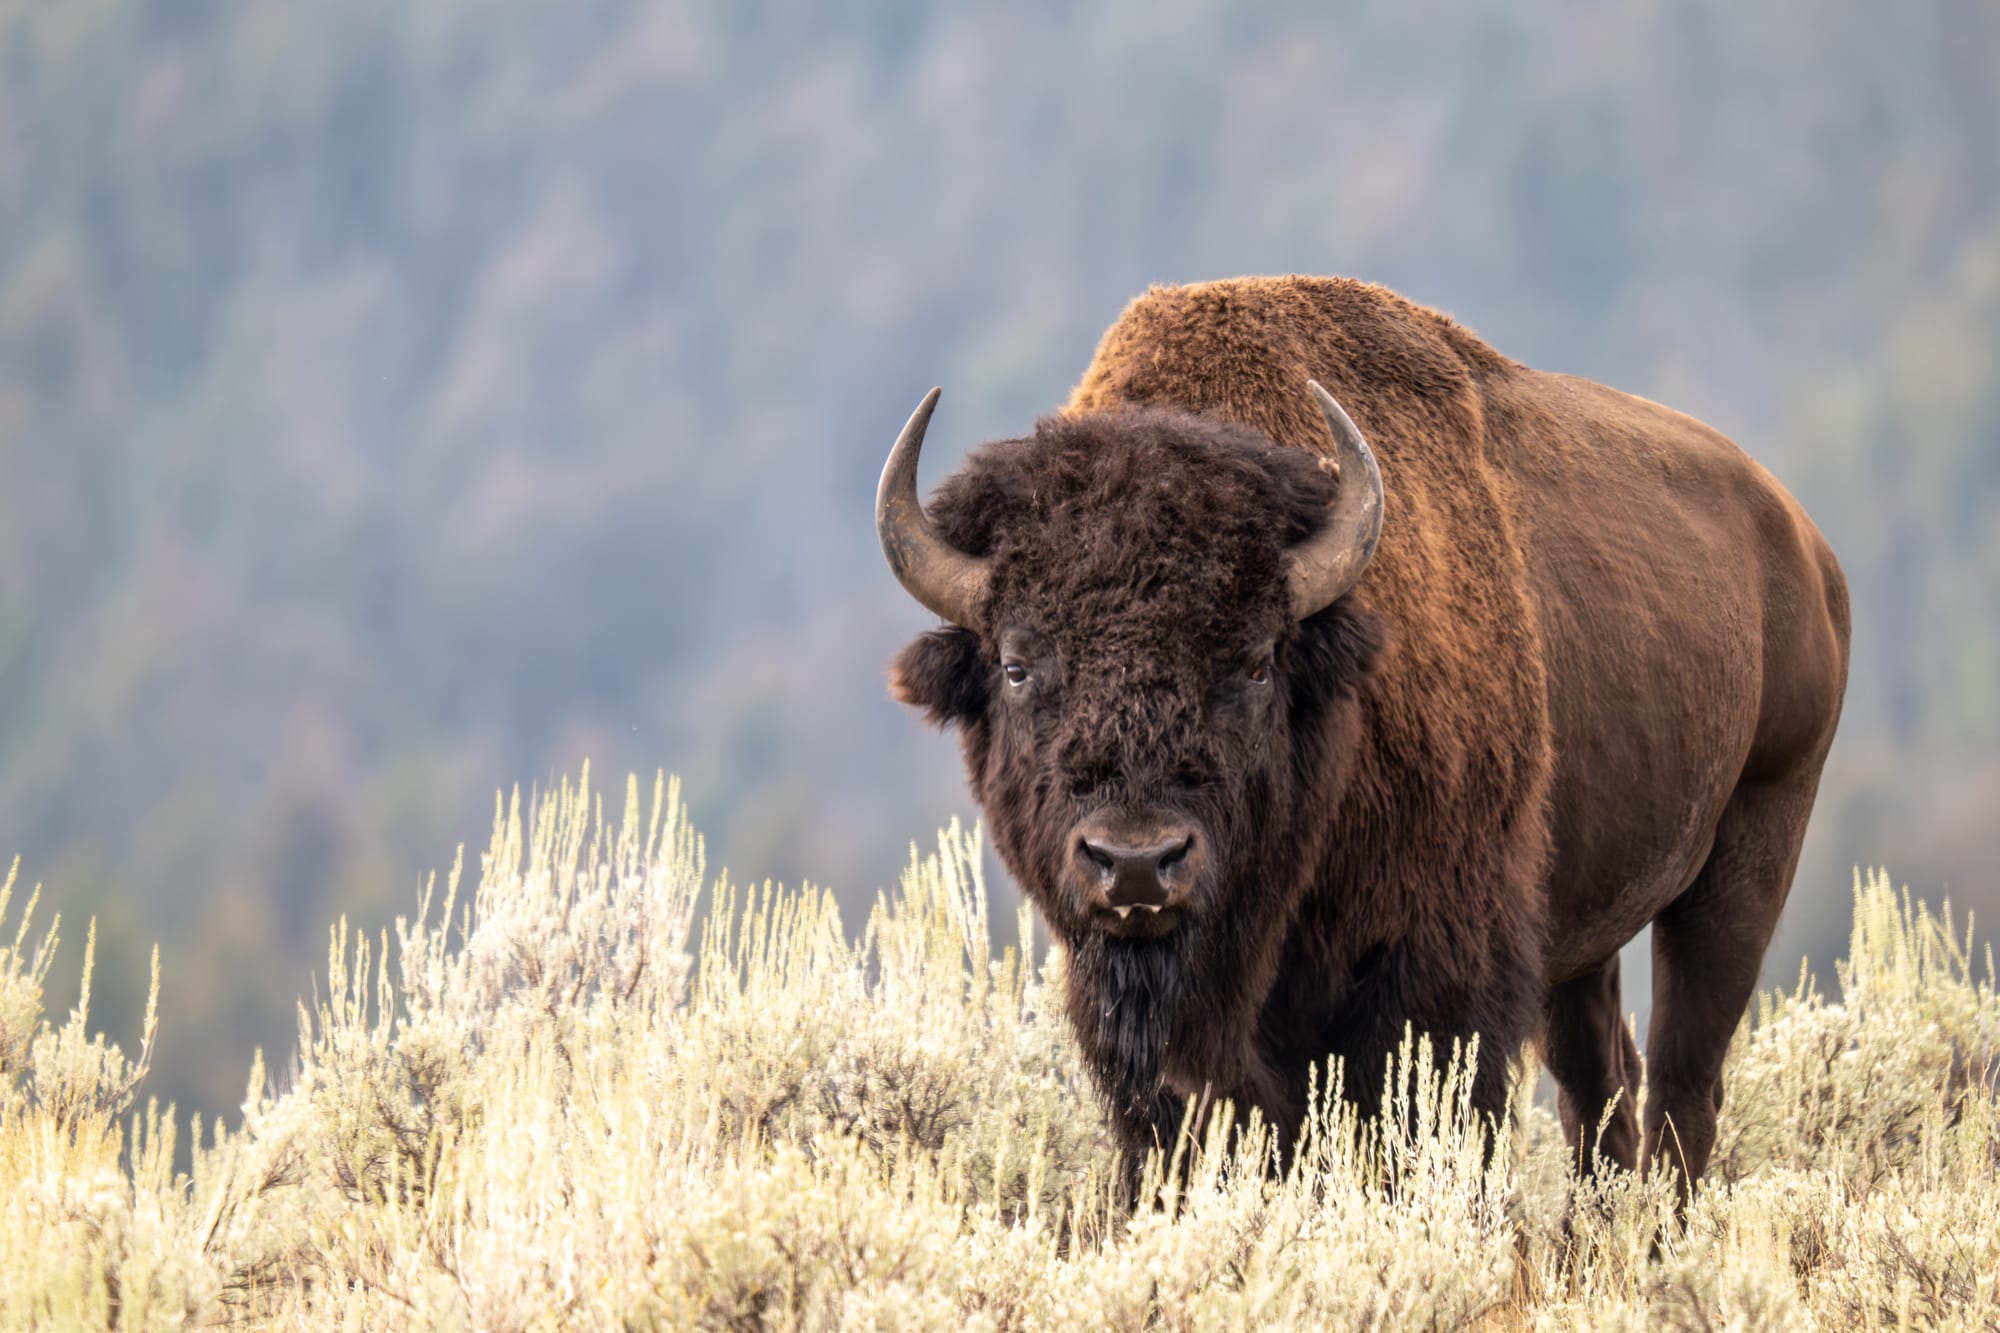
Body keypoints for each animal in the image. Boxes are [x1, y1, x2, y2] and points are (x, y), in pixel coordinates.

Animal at [884, 274, 1848, 1184]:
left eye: (1256, 661)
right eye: (1017, 664)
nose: (1136, 863)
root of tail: (1804, 545)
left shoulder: (1437, 974)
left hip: (1750, 850)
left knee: (1685, 1086)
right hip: (1585, 929)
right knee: (1599, 1085)